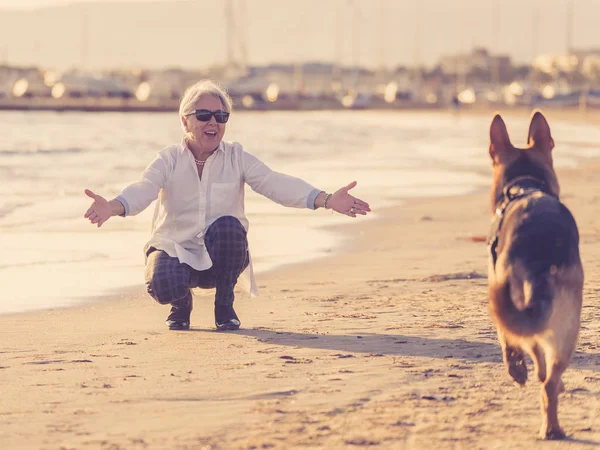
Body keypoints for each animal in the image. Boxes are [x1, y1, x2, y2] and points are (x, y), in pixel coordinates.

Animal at [488, 110, 580, 438]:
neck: (526, 187)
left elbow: (508, 341)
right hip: (567, 326)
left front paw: (516, 369)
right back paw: (552, 425)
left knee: (536, 361)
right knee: (550, 378)